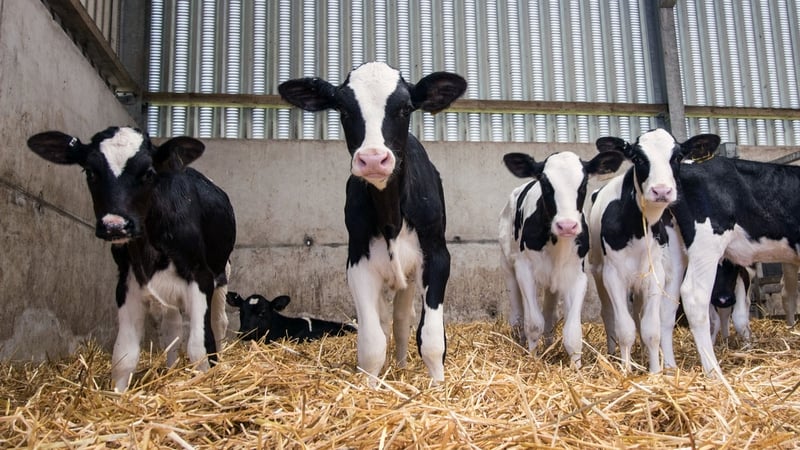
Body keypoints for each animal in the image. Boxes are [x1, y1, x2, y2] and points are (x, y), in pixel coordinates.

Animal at [26, 127, 235, 392]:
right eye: (90, 171)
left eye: (148, 173)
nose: (115, 225)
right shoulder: (127, 282)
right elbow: (124, 355)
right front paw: (118, 394)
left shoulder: (201, 276)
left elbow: (199, 347)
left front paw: (206, 383)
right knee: (172, 328)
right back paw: (170, 370)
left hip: (222, 273)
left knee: (219, 322)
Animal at [278, 62, 466, 385]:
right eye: (343, 108)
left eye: (405, 108)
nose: (374, 159)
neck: (391, 216)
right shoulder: (358, 261)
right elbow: (372, 343)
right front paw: (370, 385)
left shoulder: (437, 254)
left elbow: (431, 337)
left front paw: (438, 386)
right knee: (385, 321)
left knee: (402, 320)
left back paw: (401, 364)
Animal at [498, 150, 624, 367]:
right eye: (545, 183)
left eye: (583, 184)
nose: (567, 225)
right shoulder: (524, 271)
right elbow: (534, 323)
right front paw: (532, 359)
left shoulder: (577, 276)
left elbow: (572, 332)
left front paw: (576, 368)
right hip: (508, 265)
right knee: (517, 316)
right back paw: (521, 343)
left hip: (553, 282)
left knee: (549, 315)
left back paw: (549, 345)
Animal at [587, 128, 719, 373]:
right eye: (638, 158)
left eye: (677, 157)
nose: (662, 190)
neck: (638, 230)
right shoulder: (613, 276)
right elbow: (625, 329)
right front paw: (625, 371)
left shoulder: (654, 275)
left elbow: (651, 329)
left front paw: (655, 371)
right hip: (598, 272)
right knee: (608, 314)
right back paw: (613, 354)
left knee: (639, 316)